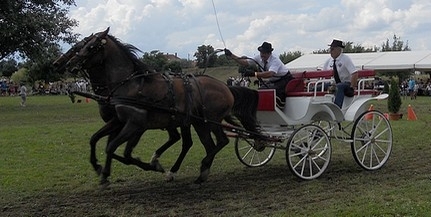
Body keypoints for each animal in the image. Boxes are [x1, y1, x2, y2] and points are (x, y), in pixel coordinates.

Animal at [64, 28, 260, 185]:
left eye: (91, 46)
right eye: (83, 45)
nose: (69, 64)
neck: (130, 84)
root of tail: (225, 87)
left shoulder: (135, 124)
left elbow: (113, 148)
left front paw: (150, 166)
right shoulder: (120, 122)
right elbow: (98, 140)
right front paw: (102, 170)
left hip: (207, 121)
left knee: (218, 142)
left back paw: (197, 168)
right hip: (198, 123)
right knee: (208, 144)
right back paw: (198, 172)